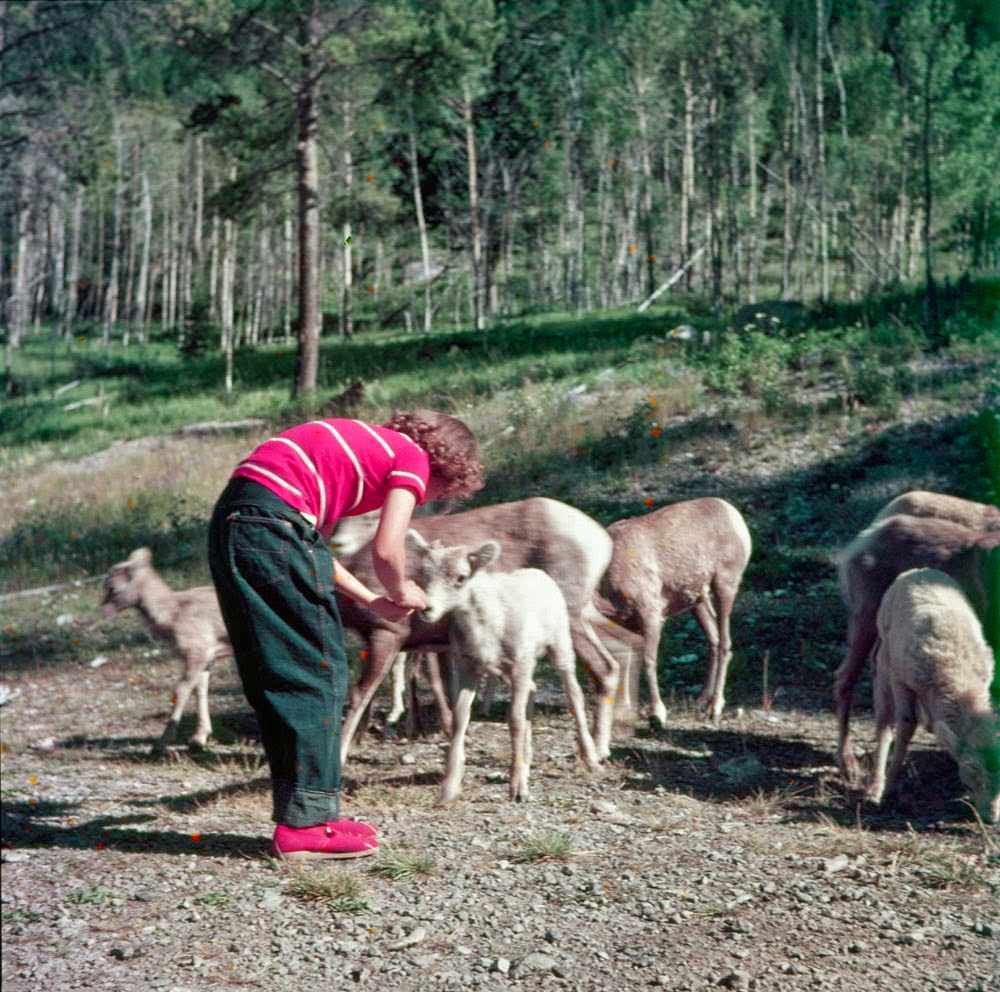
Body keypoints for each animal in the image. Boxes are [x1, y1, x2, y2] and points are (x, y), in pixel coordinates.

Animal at [100, 548, 233, 753]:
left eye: (113, 588)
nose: (103, 610)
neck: (172, 613)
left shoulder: (196, 652)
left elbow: (181, 690)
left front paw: (160, 745)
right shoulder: (207, 658)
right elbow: (200, 690)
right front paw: (198, 739)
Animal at [332, 498, 624, 765]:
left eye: (370, 516)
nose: (338, 541)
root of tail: (601, 542)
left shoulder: (388, 634)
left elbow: (360, 694)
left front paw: (344, 755)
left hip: (570, 619)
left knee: (603, 668)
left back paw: (597, 752)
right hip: (585, 615)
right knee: (610, 663)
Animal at [406, 530, 602, 804]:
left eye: (461, 577)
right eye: (423, 574)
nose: (426, 609)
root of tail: (538, 573)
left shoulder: (519, 664)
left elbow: (515, 719)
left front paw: (518, 789)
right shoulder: (469, 668)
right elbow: (460, 718)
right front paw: (449, 788)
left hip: (559, 645)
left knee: (574, 694)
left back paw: (591, 759)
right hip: (514, 667)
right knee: (533, 689)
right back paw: (528, 758)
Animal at [596, 498, 752, 726]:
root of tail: (735, 517)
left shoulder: (651, 616)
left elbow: (649, 661)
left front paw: (657, 714)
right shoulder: (626, 622)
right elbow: (626, 660)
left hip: (725, 586)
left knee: (725, 642)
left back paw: (714, 709)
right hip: (698, 600)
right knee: (714, 639)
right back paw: (701, 701)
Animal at [867, 568, 1000, 823]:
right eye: (971, 771)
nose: (991, 818)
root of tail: (917, 570)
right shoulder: (902, 680)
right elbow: (906, 727)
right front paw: (889, 787)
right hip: (885, 660)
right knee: (884, 722)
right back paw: (875, 787)